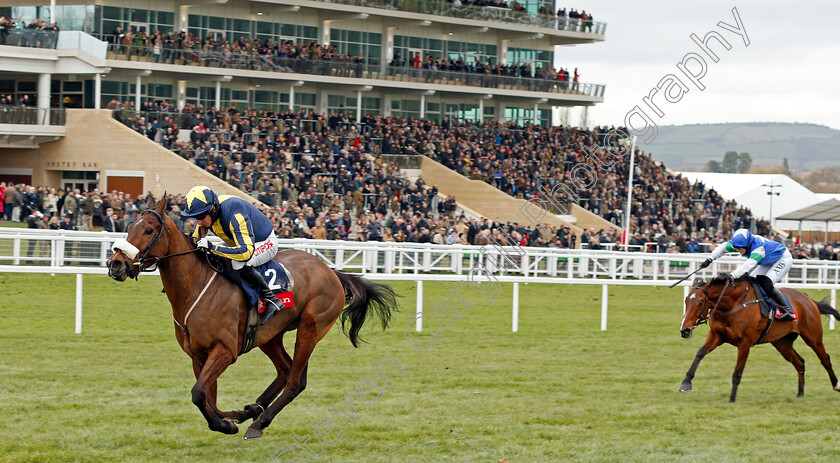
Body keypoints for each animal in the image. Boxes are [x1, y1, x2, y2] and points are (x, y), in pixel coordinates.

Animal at [106, 194, 398, 440]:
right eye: (130, 226)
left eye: (148, 230)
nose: (115, 264)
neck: (196, 288)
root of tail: (331, 272)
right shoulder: (198, 355)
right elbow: (208, 396)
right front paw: (232, 417)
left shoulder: (225, 351)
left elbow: (199, 393)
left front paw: (225, 425)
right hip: (269, 335)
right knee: (285, 370)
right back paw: (253, 410)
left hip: (311, 327)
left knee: (296, 381)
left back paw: (259, 422)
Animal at [680, 276, 840, 402]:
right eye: (686, 301)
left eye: (701, 302)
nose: (684, 330)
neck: (733, 305)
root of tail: (807, 298)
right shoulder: (716, 335)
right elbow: (700, 353)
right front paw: (686, 382)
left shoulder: (745, 342)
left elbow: (738, 372)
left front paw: (732, 398)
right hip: (782, 343)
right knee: (799, 362)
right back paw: (800, 393)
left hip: (813, 337)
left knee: (825, 359)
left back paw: (836, 385)